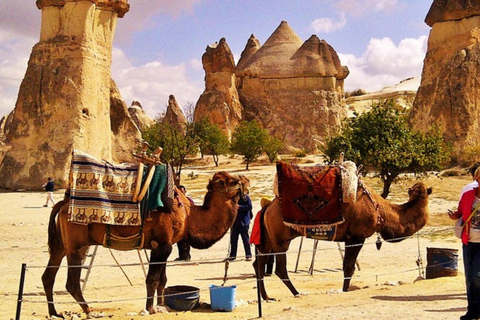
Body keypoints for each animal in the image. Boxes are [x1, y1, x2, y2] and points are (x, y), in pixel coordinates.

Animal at [41, 171, 244, 316]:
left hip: (62, 246)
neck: (188, 214)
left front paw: (162, 305)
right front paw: (150, 308)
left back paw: (54, 313)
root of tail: (62, 205)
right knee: (71, 282)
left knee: (48, 276)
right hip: (76, 246)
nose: (243, 180)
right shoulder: (160, 245)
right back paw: (88, 310)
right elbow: (152, 279)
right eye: (223, 182)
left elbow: (163, 280)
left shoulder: (166, 245)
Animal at [253, 181, 434, 302]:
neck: (379, 211)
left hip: (269, 239)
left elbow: (348, 267)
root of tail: (267, 207)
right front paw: (345, 291)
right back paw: (296, 293)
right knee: (280, 269)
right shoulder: (356, 237)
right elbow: (349, 268)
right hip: (281, 240)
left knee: (259, 263)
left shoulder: (349, 239)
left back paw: (267, 297)